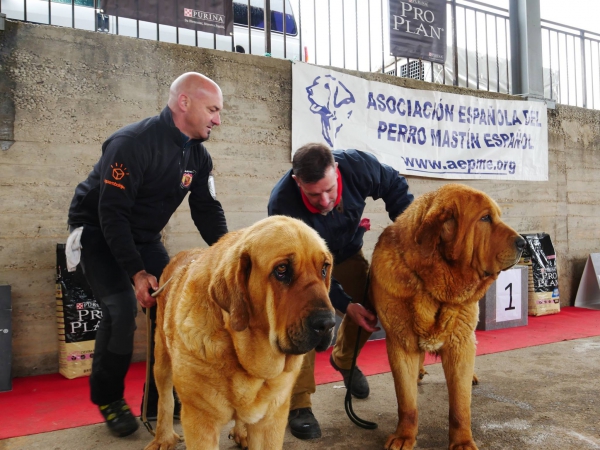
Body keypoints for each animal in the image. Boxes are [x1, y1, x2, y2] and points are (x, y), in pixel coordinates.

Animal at [143, 216, 336, 448]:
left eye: (324, 269)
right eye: (281, 270)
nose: (328, 323)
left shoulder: (271, 419)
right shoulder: (200, 422)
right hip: (161, 359)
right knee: (165, 397)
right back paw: (162, 437)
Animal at [370, 184, 524, 450]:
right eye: (485, 218)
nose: (524, 242)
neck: (432, 283)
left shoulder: (460, 343)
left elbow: (460, 405)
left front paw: (462, 442)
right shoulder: (401, 344)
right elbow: (406, 402)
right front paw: (404, 436)